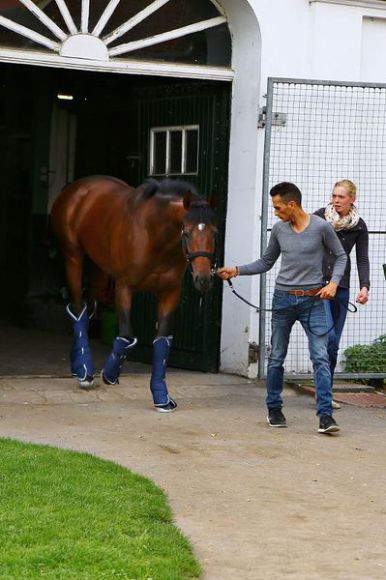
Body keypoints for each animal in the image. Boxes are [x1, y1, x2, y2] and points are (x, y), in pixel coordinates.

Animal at [50, 177, 217, 412]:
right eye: (186, 232)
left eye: (215, 233)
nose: (203, 280)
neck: (155, 234)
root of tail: (76, 188)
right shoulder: (124, 288)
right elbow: (127, 335)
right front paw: (110, 374)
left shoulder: (170, 292)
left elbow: (162, 342)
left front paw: (162, 398)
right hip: (74, 258)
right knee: (77, 309)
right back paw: (85, 371)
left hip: (98, 270)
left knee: (88, 311)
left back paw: (78, 367)